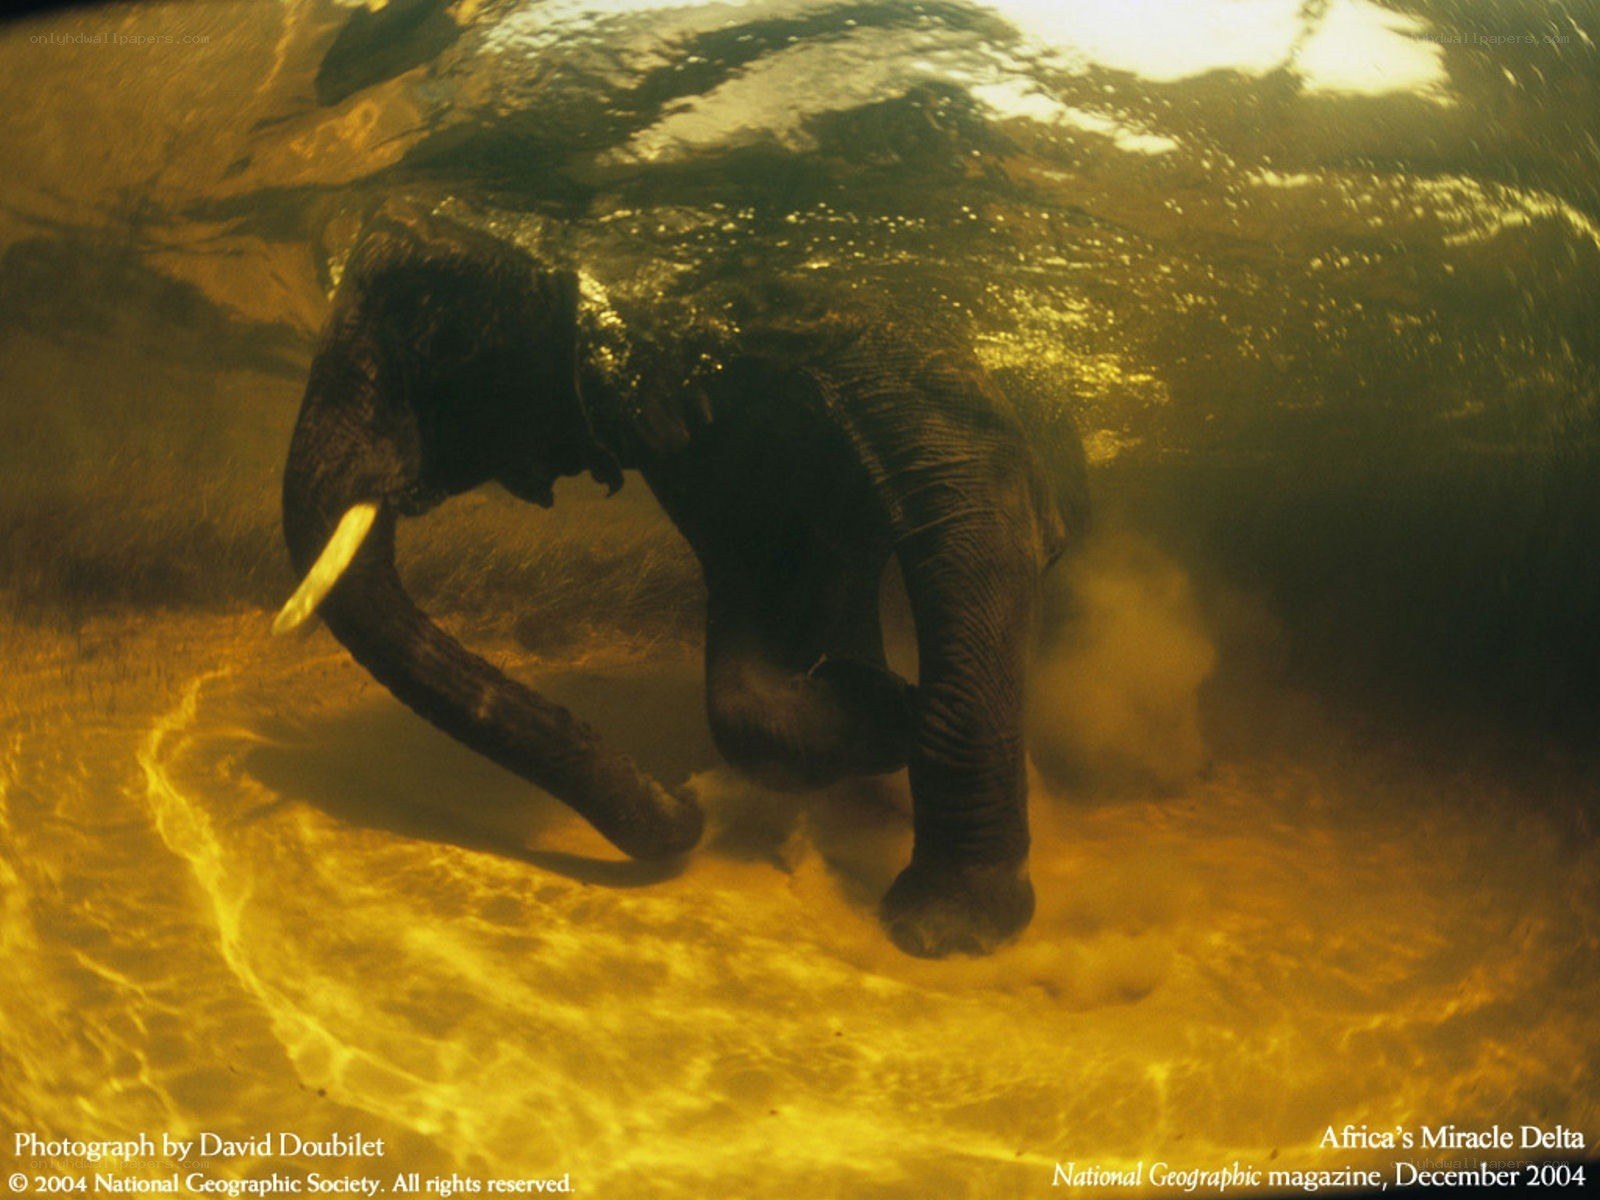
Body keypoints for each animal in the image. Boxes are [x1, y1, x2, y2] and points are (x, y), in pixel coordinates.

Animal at [274, 203, 1088, 957]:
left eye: (445, 344)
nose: (687, 807)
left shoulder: (880, 348)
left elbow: (974, 534)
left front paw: (940, 931)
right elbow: (756, 597)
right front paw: (875, 709)